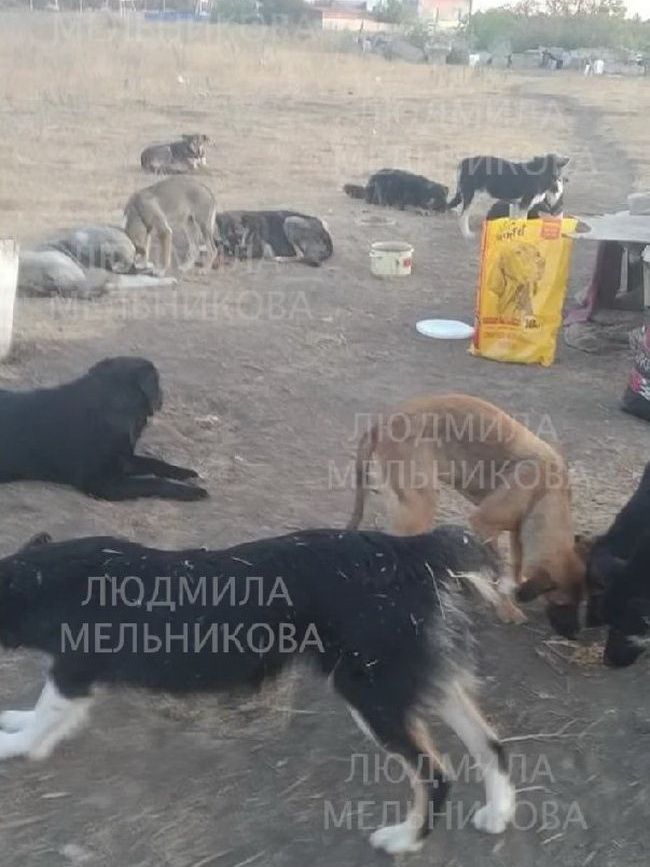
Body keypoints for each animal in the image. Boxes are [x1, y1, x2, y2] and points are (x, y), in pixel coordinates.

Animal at [0, 357, 206, 501]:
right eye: (158, 382)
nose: (163, 394)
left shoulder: (123, 459)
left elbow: (156, 463)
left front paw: (184, 472)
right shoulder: (102, 482)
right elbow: (153, 481)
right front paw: (191, 491)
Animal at [0, 525, 515, 855]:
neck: (51, 580)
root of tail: (412, 550)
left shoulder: (73, 673)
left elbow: (44, 714)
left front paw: (15, 744)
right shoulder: (73, 677)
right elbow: (43, 716)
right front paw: (20, 724)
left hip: (371, 694)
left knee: (435, 774)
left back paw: (404, 840)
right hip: (413, 681)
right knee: (490, 743)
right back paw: (498, 812)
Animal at [347, 394, 586, 637]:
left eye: (580, 602)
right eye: (561, 603)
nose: (576, 634)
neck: (546, 492)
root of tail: (381, 422)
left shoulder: (518, 532)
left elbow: (516, 565)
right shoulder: (484, 523)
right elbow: (498, 571)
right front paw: (507, 608)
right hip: (420, 505)